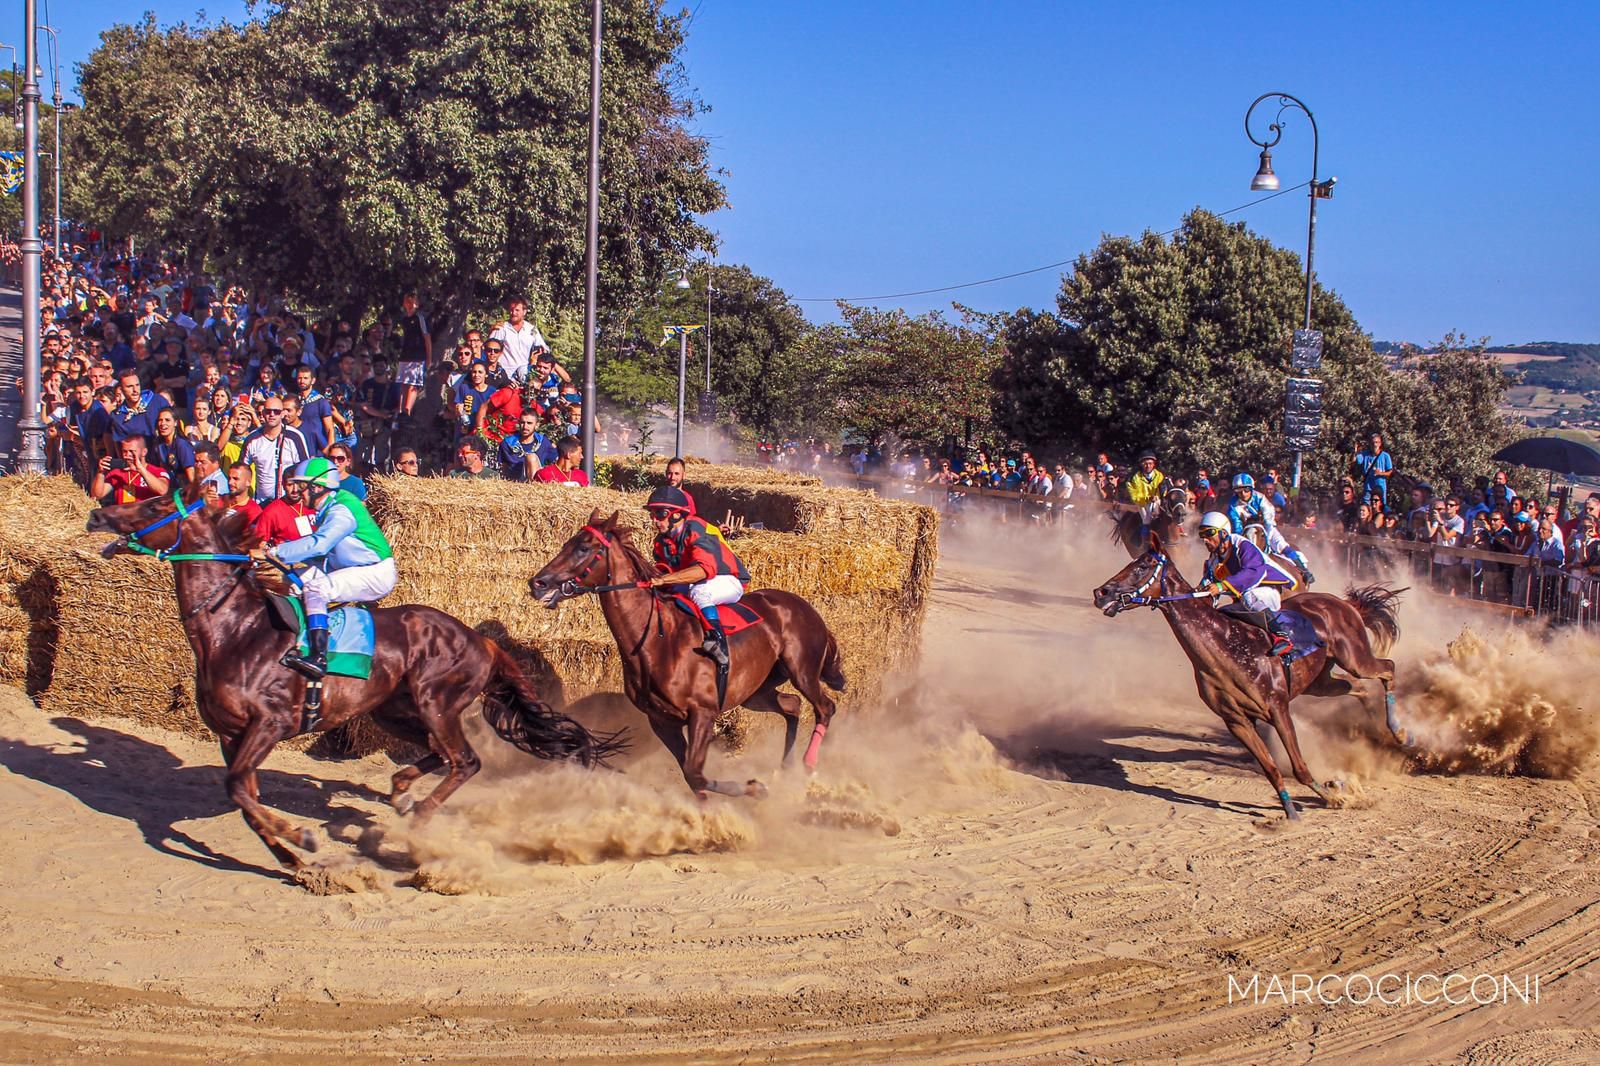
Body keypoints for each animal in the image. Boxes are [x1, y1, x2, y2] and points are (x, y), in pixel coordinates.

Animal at [84, 486, 624, 870]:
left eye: (156, 501)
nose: (97, 516)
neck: (234, 631)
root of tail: (481, 640)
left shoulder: (269, 724)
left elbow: (238, 788)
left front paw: (299, 837)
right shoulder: (230, 734)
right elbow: (243, 796)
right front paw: (291, 857)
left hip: (436, 701)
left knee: (465, 761)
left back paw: (418, 815)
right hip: (391, 710)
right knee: (437, 754)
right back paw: (402, 792)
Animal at [528, 508, 851, 797]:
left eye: (583, 548)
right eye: (565, 544)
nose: (537, 583)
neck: (657, 641)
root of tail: (805, 607)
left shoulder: (702, 713)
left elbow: (695, 773)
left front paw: (752, 789)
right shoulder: (662, 721)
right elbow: (691, 776)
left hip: (802, 670)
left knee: (825, 708)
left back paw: (807, 765)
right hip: (755, 691)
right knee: (792, 706)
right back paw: (785, 768)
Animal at [1088, 531, 1401, 819]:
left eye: (1142, 566)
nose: (1100, 593)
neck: (1227, 645)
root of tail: (1341, 603)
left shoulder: (1277, 708)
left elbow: (1299, 767)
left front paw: (1334, 798)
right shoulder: (1237, 721)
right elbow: (1271, 769)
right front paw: (1290, 812)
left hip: (1355, 657)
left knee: (1387, 668)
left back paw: (1398, 731)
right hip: (1319, 682)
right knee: (1358, 687)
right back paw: (1378, 731)